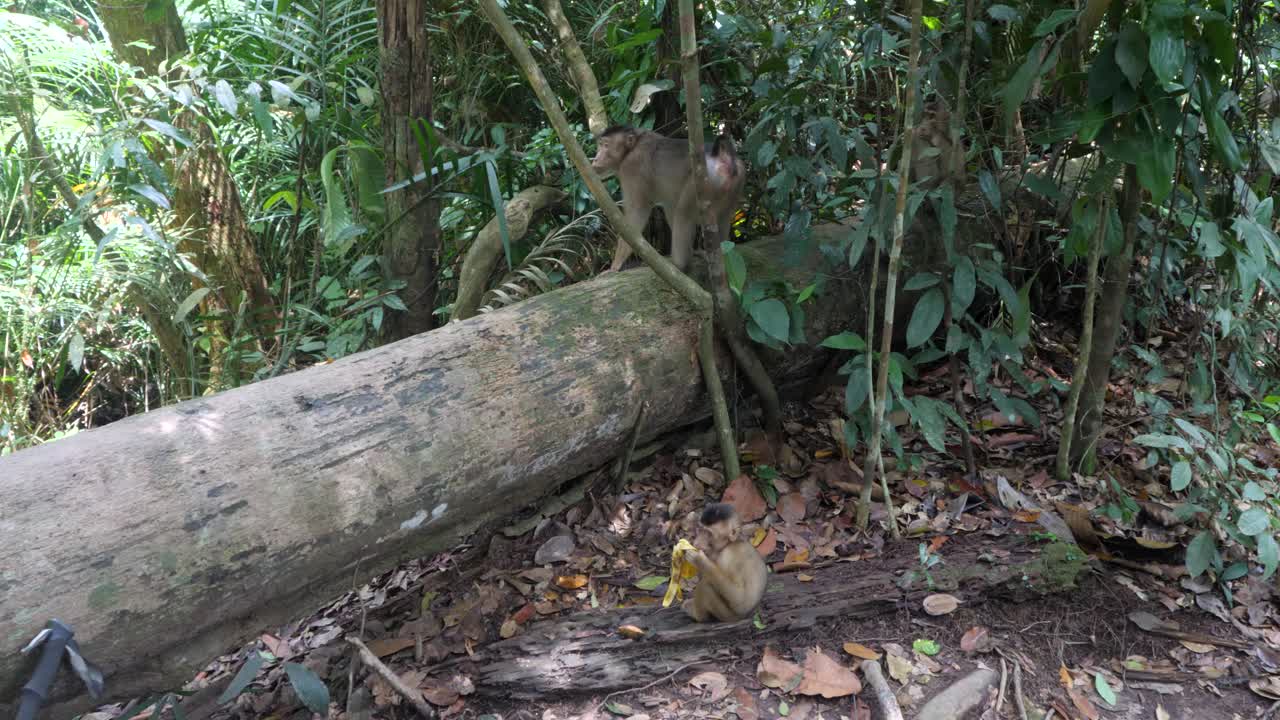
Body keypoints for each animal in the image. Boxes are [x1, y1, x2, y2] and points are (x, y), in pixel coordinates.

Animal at [589, 126, 745, 273]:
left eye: (606, 145)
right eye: (600, 145)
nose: (595, 159)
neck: (632, 147)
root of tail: (722, 158)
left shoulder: (632, 167)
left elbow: (636, 212)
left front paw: (615, 266)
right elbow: (670, 208)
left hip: (702, 182)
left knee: (683, 214)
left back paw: (678, 265)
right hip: (734, 186)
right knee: (721, 219)